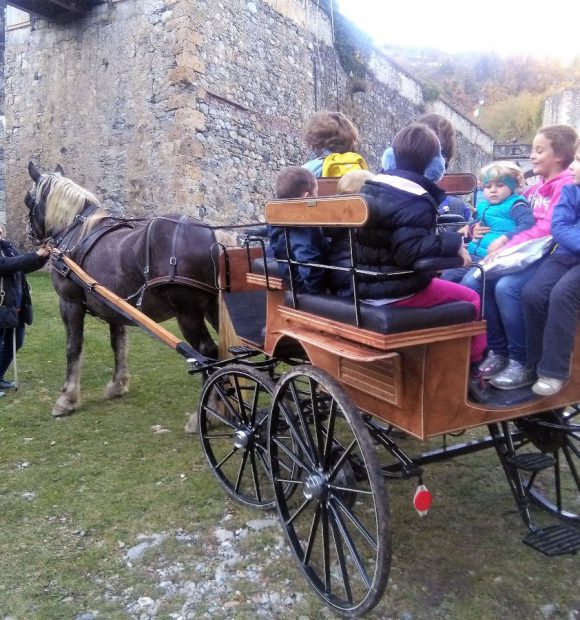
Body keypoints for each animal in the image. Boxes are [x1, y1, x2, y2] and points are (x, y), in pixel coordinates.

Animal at [24, 162, 220, 418]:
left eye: (28, 200)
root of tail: (212, 237)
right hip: (215, 307)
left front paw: (67, 398)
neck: (75, 232)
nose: (31, 234)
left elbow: (73, 347)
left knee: (209, 353)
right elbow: (118, 344)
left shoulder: (69, 303)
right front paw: (118, 385)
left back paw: (206, 412)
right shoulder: (114, 307)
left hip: (188, 312)